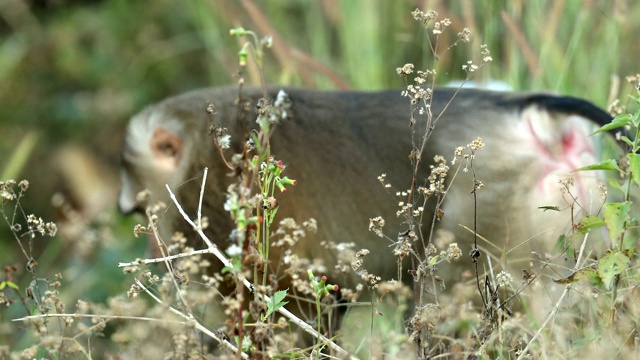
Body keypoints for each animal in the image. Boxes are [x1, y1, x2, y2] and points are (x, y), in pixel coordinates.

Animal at [120, 86, 616, 324]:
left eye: (143, 211)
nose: (154, 250)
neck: (198, 148)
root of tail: (534, 118)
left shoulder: (224, 205)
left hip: (492, 202)